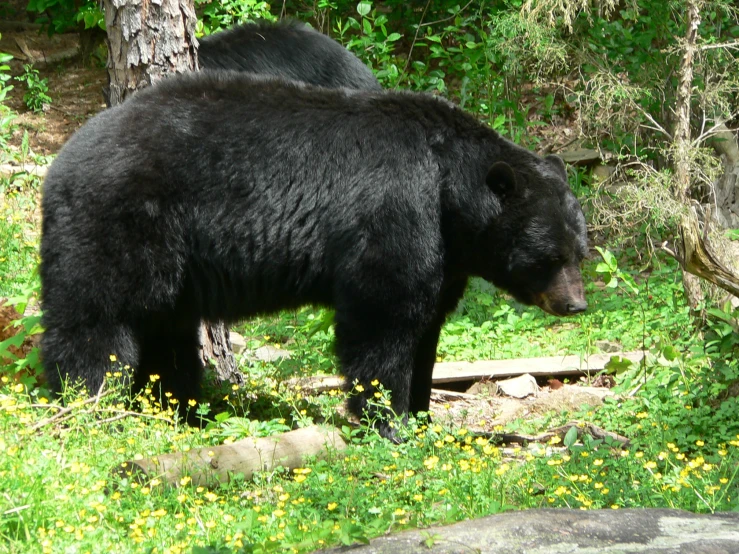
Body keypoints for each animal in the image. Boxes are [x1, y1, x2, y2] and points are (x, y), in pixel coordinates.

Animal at [40, 71, 588, 438]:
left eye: (580, 251)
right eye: (550, 255)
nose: (576, 304)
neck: (446, 188)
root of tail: (62, 160)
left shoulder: (444, 255)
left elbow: (426, 327)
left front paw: (421, 415)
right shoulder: (398, 212)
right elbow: (382, 316)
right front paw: (388, 420)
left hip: (168, 261)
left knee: (163, 327)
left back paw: (177, 406)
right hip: (122, 221)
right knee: (96, 317)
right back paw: (86, 400)